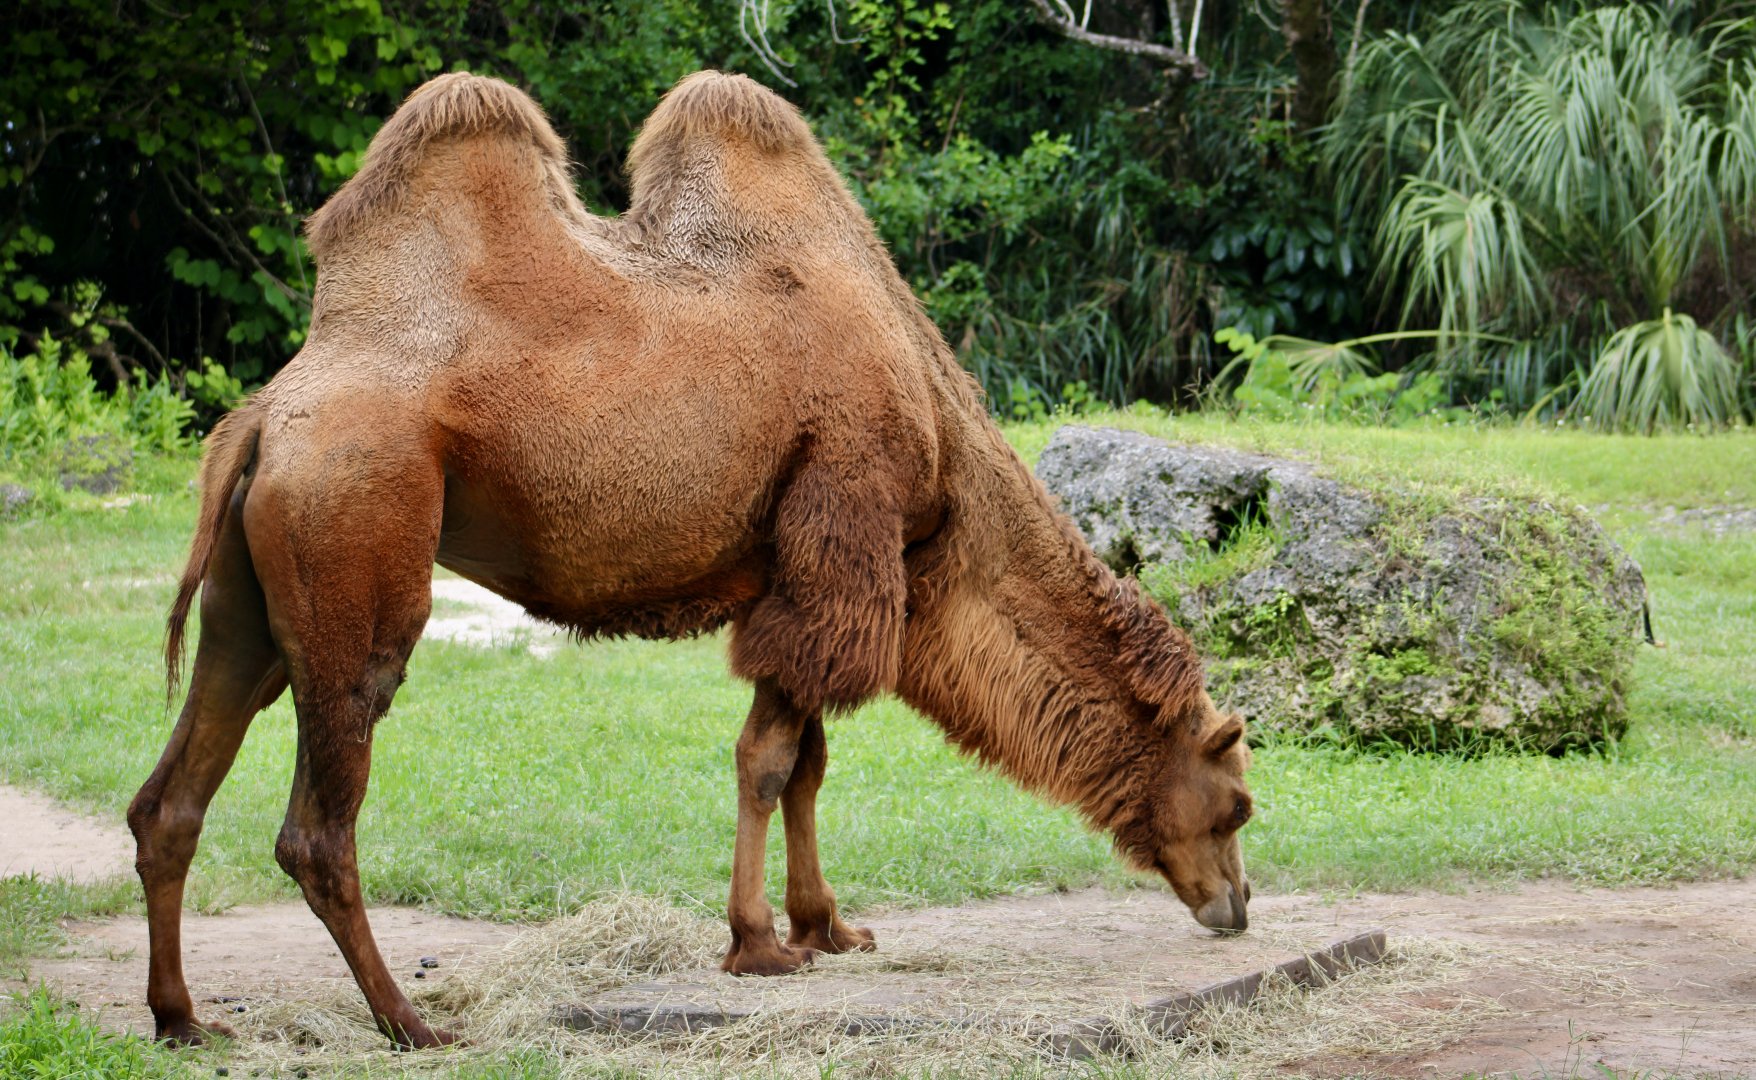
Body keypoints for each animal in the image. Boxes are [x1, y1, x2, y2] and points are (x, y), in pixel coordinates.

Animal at [129, 70, 1254, 1051]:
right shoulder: (844, 533)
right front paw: (759, 943)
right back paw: (412, 1023)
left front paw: (828, 927)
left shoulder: (800, 573)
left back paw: (184, 1019)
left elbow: (808, 762)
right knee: (318, 825)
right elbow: (768, 761)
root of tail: (264, 420)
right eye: (1237, 802)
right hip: (355, 539)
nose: (1237, 906)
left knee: (170, 800)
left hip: (249, 605)